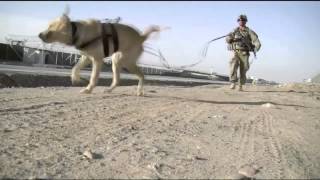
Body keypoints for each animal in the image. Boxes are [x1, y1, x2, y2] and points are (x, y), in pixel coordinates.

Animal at [38, 8, 166, 95]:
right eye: (48, 26)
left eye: (50, 29)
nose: (39, 34)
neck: (78, 31)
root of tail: (141, 37)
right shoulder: (86, 58)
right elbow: (75, 68)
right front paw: (76, 78)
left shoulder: (97, 60)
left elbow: (93, 77)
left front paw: (88, 89)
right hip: (116, 61)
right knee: (117, 80)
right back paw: (109, 90)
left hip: (126, 61)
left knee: (142, 75)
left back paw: (139, 91)